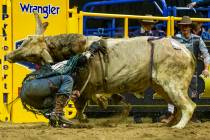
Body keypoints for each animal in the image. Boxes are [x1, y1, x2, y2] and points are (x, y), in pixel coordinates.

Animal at [4, 13, 196, 129]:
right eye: (24, 42)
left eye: (31, 50)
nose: (8, 55)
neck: (80, 48)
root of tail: (186, 51)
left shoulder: (84, 87)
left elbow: (80, 105)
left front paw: (81, 120)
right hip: (160, 86)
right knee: (176, 105)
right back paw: (169, 123)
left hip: (172, 84)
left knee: (188, 106)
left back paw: (178, 126)